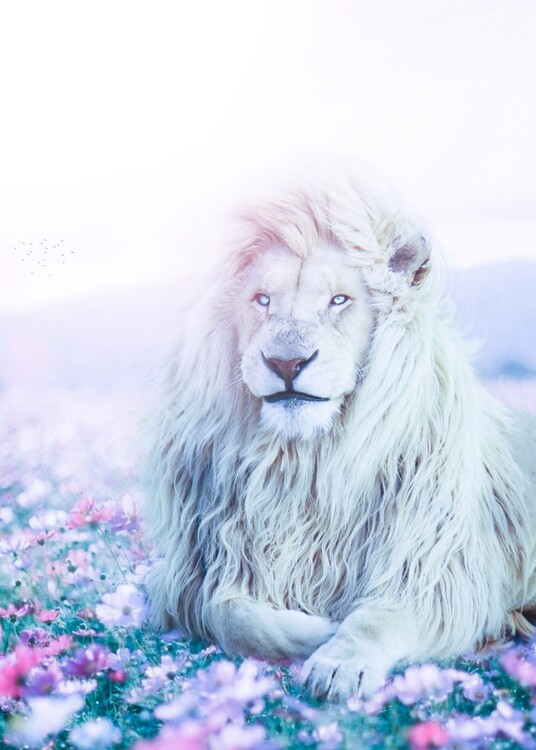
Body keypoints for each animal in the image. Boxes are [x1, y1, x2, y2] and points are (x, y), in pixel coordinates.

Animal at [144, 166, 536, 702]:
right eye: (261, 300)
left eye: (339, 301)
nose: (286, 362)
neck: (306, 463)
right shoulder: (199, 570)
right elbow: (231, 615)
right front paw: (316, 631)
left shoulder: (439, 574)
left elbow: (375, 619)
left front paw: (338, 661)